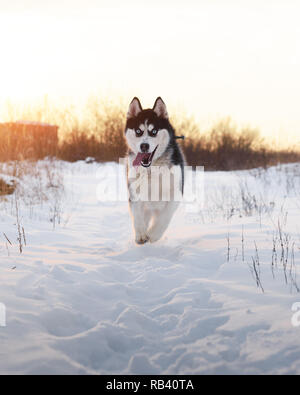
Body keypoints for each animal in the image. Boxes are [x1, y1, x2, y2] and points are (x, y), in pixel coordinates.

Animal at [124, 97, 185, 244]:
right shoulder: (134, 191)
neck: (152, 168)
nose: (144, 146)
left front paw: (153, 234)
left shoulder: (176, 193)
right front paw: (141, 234)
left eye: (154, 131)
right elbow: (137, 214)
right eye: (138, 131)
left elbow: (165, 216)